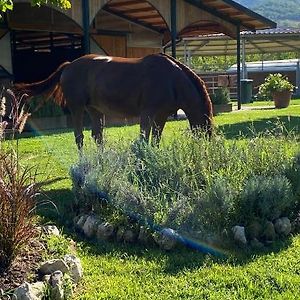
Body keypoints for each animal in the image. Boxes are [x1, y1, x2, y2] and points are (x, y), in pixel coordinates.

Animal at [13, 54, 211, 150]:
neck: (171, 80)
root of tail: (68, 66)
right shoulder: (148, 113)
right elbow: (143, 138)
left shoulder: (161, 116)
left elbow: (155, 139)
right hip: (77, 108)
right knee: (79, 137)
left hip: (94, 110)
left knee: (97, 136)